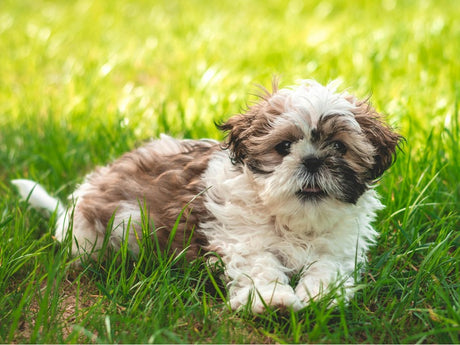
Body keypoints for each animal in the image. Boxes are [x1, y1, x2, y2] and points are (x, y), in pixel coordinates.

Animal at [13, 78, 402, 312]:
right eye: (283, 147)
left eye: (338, 147)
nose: (312, 160)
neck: (293, 220)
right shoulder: (242, 238)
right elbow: (259, 266)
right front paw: (272, 300)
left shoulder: (339, 247)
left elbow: (327, 267)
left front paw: (320, 296)